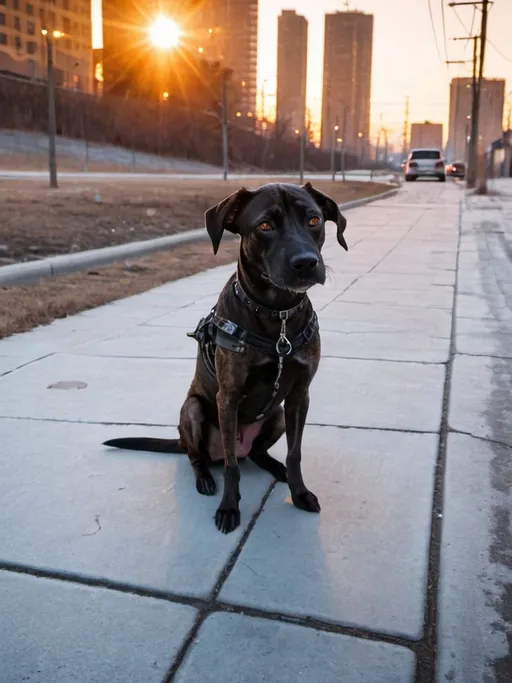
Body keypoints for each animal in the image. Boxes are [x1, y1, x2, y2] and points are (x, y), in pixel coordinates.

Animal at [106, 183, 350, 536]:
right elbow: (232, 467)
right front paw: (229, 508)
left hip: (276, 414)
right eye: (265, 225)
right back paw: (206, 479)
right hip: (193, 411)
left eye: (315, 220)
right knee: (202, 458)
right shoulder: (229, 396)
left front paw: (299, 493)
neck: (278, 317)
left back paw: (273, 467)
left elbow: (295, 453)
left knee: (257, 453)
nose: (306, 263)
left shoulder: (299, 395)